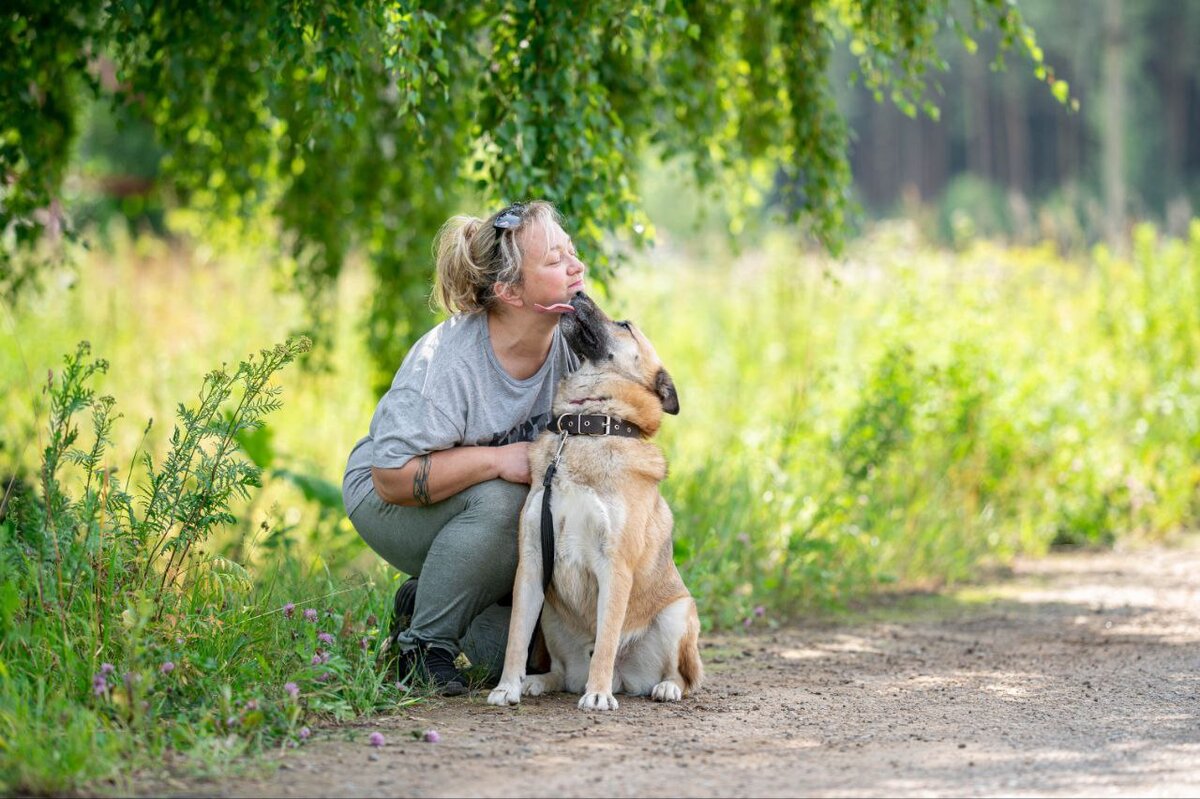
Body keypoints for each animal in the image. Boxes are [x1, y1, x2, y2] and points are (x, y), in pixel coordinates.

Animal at [487, 291, 700, 710]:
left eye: (625, 326)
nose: (579, 292)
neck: (585, 429)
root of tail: (625, 678)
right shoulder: (533, 561)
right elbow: (516, 638)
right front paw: (507, 687)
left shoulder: (615, 566)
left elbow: (605, 641)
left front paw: (598, 695)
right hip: (550, 614)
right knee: (559, 670)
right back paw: (539, 681)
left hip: (679, 612)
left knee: (681, 676)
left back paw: (661, 687)